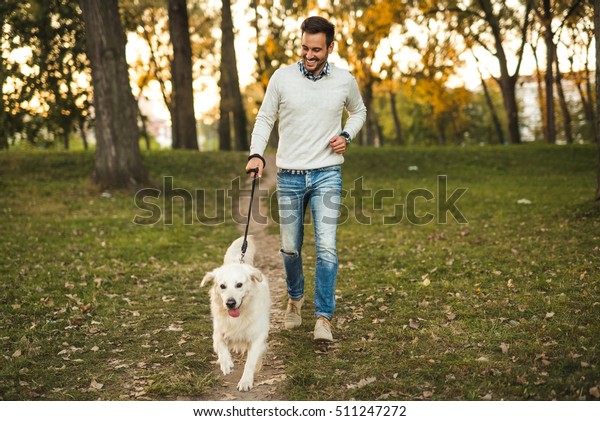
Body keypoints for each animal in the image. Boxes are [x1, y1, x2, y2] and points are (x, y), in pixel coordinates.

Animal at [202, 236, 270, 390]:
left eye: (239, 285)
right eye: (222, 286)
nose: (230, 303)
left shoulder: (257, 337)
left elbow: (250, 362)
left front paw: (245, 381)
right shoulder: (218, 331)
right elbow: (220, 344)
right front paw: (226, 362)